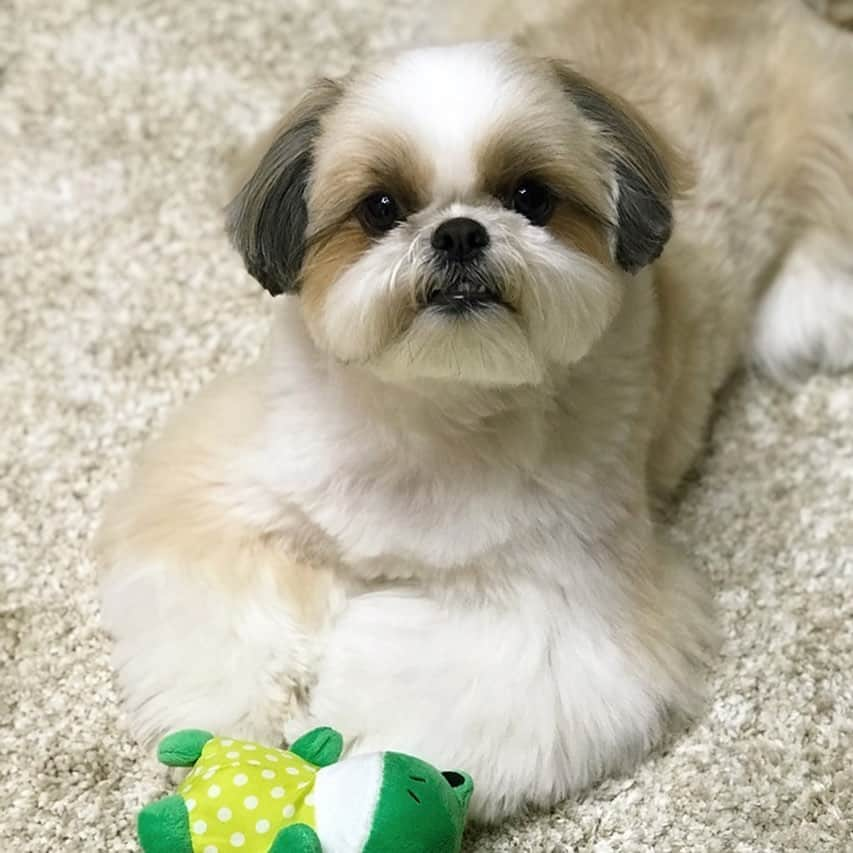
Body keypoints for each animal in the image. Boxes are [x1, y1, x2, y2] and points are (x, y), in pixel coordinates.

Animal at [95, 0, 852, 824]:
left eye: (530, 198)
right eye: (381, 207)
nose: (459, 230)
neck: (435, 414)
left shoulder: (561, 604)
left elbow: (455, 682)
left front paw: (354, 750)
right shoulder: (229, 488)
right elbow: (218, 603)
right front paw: (252, 709)